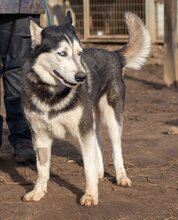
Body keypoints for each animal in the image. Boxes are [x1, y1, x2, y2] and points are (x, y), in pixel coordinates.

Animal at [21, 11, 150, 205]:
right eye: (62, 53)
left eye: (79, 53)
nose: (82, 77)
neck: (53, 93)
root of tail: (113, 54)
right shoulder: (40, 135)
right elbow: (42, 169)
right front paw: (38, 191)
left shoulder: (84, 130)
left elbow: (88, 167)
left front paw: (90, 195)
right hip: (92, 120)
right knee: (100, 145)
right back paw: (100, 173)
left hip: (112, 118)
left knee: (116, 149)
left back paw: (121, 177)